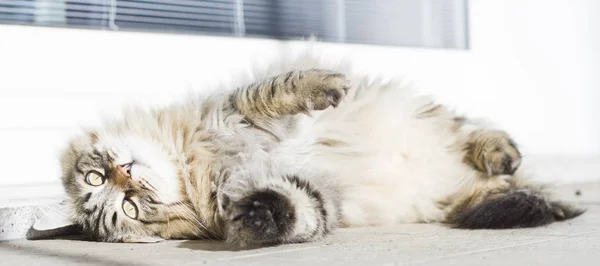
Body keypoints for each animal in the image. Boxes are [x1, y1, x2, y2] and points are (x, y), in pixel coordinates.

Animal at [56, 54, 580, 247]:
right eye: (128, 208)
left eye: (96, 179)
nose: (125, 173)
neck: (194, 163)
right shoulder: (312, 193)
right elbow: (297, 209)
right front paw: (258, 217)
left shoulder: (239, 110)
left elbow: (277, 89)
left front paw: (328, 86)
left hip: (438, 121)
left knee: (479, 136)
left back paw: (501, 153)